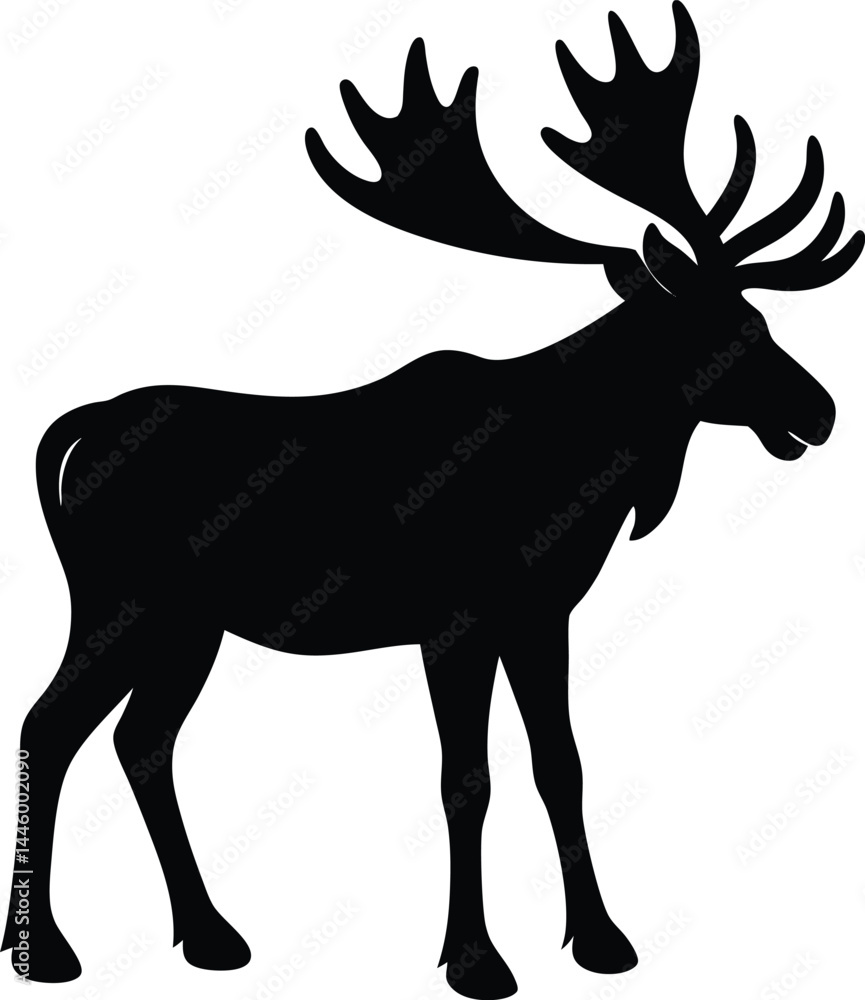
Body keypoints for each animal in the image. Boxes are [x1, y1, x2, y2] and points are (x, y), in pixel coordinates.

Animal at [3, 3, 862, 995]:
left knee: (142, 741)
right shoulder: (455, 617)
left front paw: (600, 939)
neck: (580, 470)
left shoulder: (541, 613)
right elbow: (466, 779)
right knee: (48, 723)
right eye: (718, 328)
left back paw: (209, 933)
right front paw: (476, 958)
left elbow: (559, 765)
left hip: (189, 623)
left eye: (760, 318)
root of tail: (80, 427)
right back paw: (46, 948)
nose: (820, 410)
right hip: (121, 601)